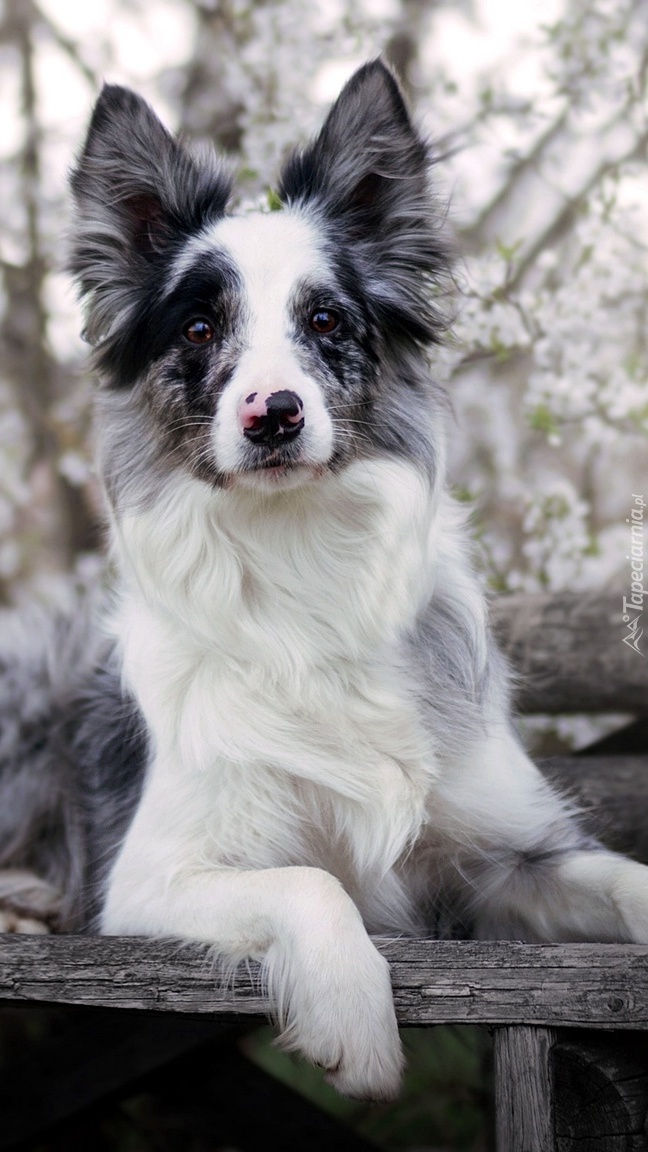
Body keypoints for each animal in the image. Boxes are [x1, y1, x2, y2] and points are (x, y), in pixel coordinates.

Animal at [1, 60, 645, 1096]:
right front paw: (356, 1021)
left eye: (326, 319)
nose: (273, 413)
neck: (296, 554)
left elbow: (627, 878)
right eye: (198, 326)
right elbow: (310, 881)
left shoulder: (515, 855)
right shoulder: (147, 879)